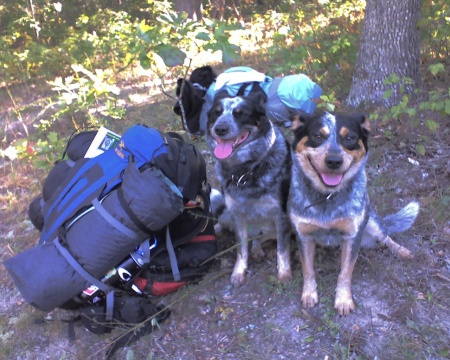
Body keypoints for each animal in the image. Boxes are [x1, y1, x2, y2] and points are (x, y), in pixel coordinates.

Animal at [207, 88, 292, 286]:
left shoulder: (281, 214)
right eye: (216, 112)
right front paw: (238, 272)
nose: (220, 129)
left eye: (241, 114)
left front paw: (284, 273)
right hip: (229, 214)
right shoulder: (237, 215)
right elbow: (241, 249)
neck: (245, 171)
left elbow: (282, 249)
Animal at [286, 110, 420, 316]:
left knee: (386, 235)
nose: (334, 161)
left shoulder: (352, 235)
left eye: (350, 138)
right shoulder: (304, 235)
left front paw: (343, 300)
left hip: (371, 221)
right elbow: (308, 269)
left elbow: (345, 273)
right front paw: (309, 294)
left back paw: (401, 250)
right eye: (317, 136)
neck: (327, 198)